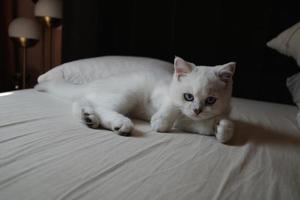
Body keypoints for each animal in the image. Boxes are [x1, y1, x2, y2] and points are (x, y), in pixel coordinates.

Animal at [35, 57, 236, 143]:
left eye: (210, 100)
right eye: (188, 96)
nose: (197, 110)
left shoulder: (190, 122)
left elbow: (204, 126)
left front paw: (222, 129)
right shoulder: (161, 93)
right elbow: (171, 105)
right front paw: (160, 122)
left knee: (82, 102)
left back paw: (88, 117)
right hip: (125, 94)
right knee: (98, 106)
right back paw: (119, 123)